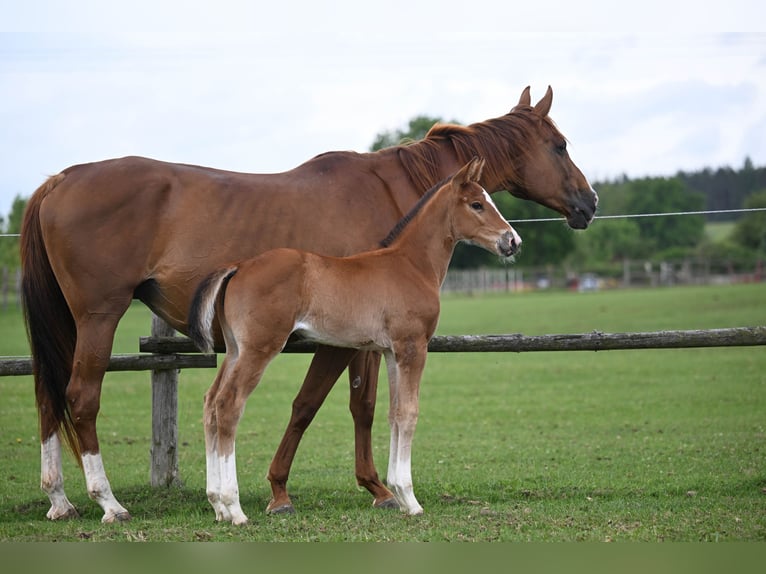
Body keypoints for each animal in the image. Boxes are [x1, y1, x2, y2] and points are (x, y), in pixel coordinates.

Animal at [187, 158, 521, 523]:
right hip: (259, 349)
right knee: (228, 405)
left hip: (235, 350)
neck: (411, 264)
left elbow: (393, 413)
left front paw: (398, 495)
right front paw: (411, 499)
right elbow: (409, 413)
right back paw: (234, 508)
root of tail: (239, 266)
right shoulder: (413, 347)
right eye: (477, 204)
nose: (513, 241)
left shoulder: (391, 352)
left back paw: (217, 504)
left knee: (210, 403)